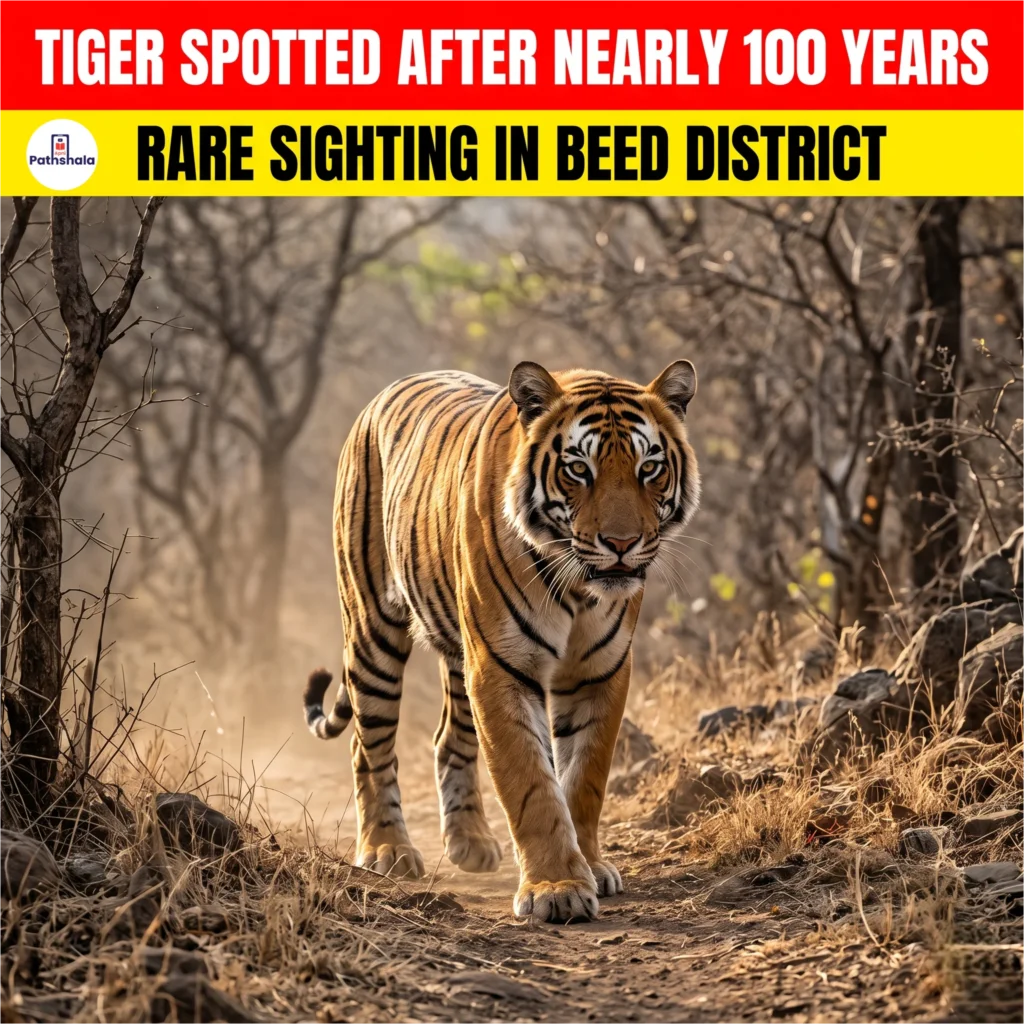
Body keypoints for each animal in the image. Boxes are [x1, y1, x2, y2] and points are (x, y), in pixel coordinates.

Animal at [304, 360, 700, 923]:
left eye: (649, 468)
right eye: (579, 470)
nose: (621, 545)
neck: (578, 588)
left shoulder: (599, 670)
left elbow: (584, 778)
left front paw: (590, 866)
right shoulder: (502, 667)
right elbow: (531, 782)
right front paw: (557, 888)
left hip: (458, 652)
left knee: (448, 737)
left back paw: (470, 841)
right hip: (372, 628)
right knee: (368, 743)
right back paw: (387, 850)